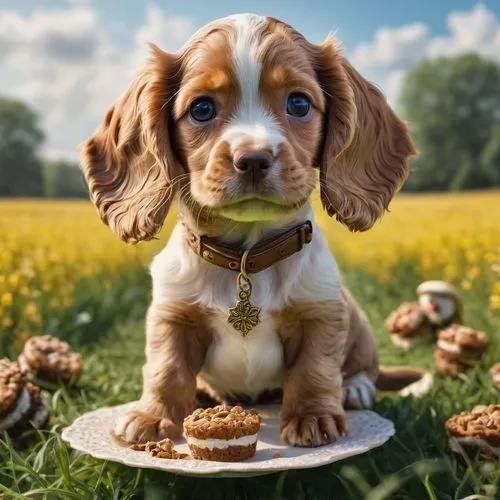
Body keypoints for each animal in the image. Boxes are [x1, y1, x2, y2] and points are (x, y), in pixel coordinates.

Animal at [83, 13, 426, 448]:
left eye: (299, 103)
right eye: (201, 108)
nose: (254, 159)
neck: (247, 256)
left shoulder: (322, 311)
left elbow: (315, 368)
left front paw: (313, 417)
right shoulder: (172, 315)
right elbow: (166, 367)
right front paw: (152, 415)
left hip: (358, 321)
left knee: (363, 366)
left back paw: (354, 389)